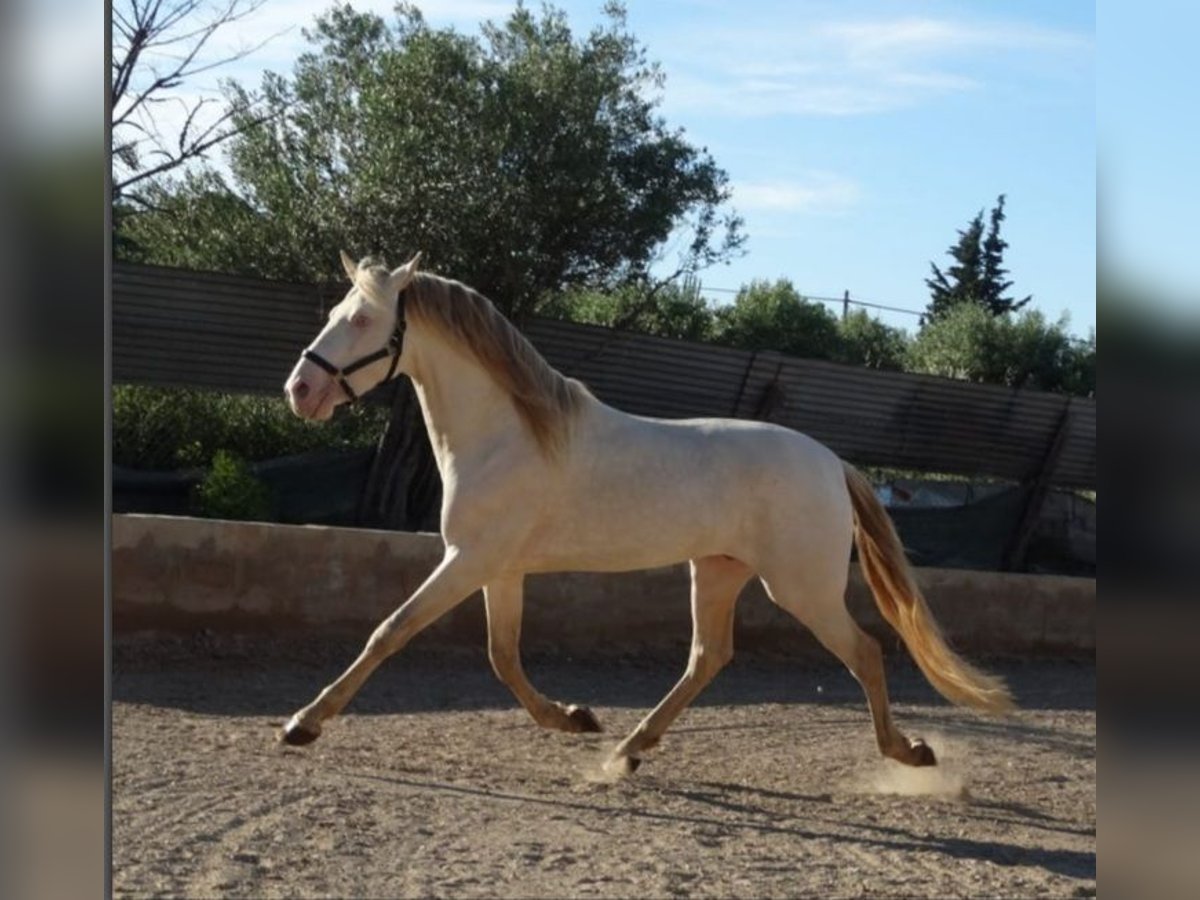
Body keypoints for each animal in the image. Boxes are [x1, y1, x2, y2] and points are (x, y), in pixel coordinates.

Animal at [280, 252, 1012, 777]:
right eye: (337, 310)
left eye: (364, 321)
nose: (301, 390)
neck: (508, 435)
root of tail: (834, 463)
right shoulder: (499, 569)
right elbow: (503, 656)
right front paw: (576, 717)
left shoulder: (469, 560)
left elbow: (390, 632)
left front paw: (302, 723)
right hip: (716, 572)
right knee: (707, 657)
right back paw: (627, 748)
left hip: (800, 587)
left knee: (863, 651)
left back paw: (908, 752)